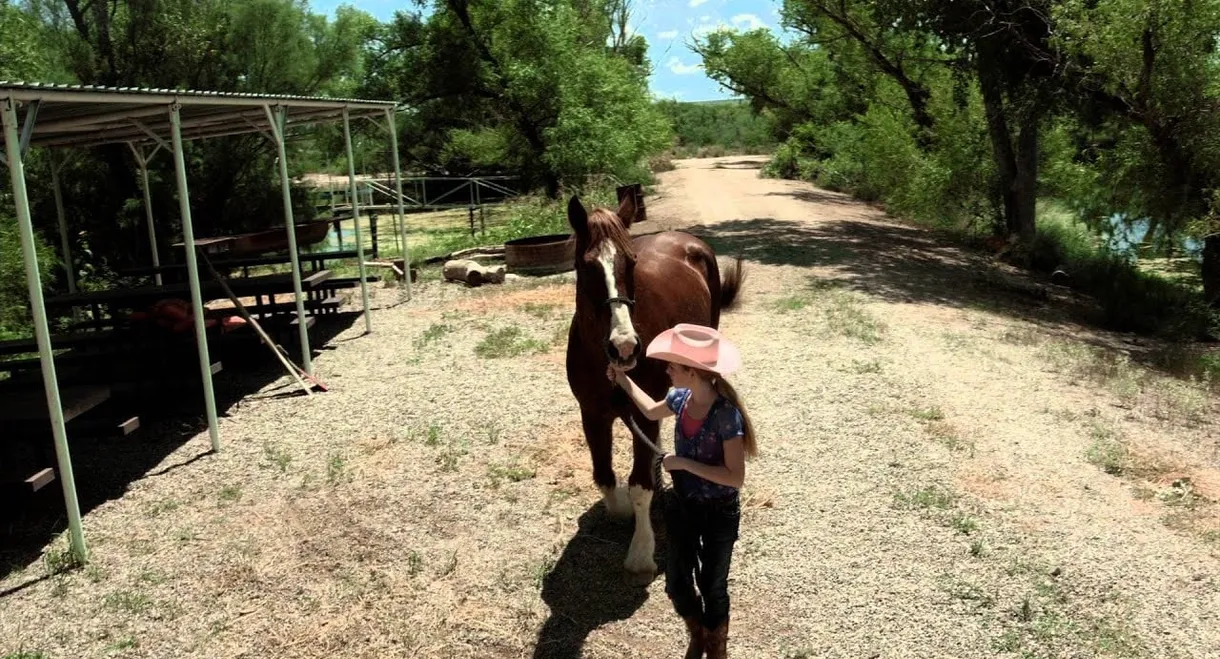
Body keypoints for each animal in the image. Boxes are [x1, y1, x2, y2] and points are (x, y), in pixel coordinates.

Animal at [564, 193, 744, 577]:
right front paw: (621, 512)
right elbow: (604, 475)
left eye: (631, 263)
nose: (624, 346)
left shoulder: (641, 415)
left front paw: (641, 551)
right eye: (586, 267)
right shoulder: (592, 414)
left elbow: (639, 487)